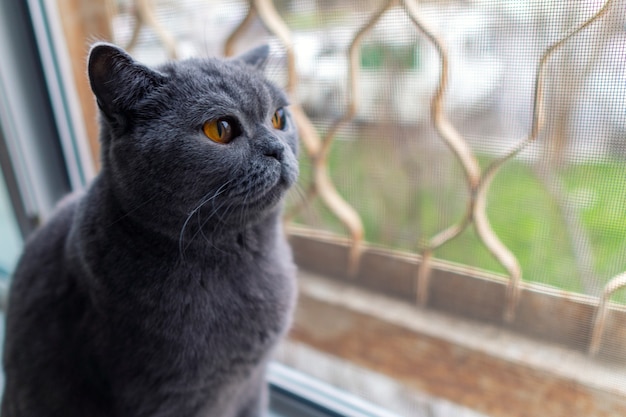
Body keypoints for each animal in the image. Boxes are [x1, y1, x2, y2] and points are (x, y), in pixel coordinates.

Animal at [0, 43, 298, 416]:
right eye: (220, 128)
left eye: (278, 118)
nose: (277, 148)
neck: (244, 259)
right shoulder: (169, 399)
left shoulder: (253, 385)